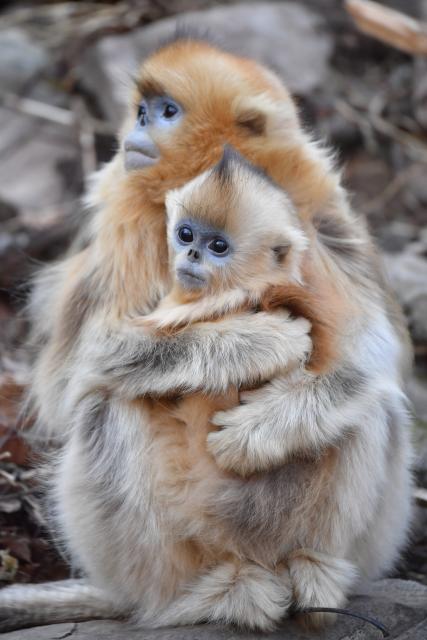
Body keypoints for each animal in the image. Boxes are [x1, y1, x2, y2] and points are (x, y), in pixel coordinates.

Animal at [0, 35, 412, 632]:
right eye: (142, 110)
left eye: (167, 111)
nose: (136, 129)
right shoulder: (125, 222)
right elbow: (79, 370)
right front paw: (259, 343)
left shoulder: (318, 213)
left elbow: (374, 351)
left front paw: (257, 431)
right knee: (105, 400)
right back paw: (199, 598)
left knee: (373, 403)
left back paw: (313, 574)